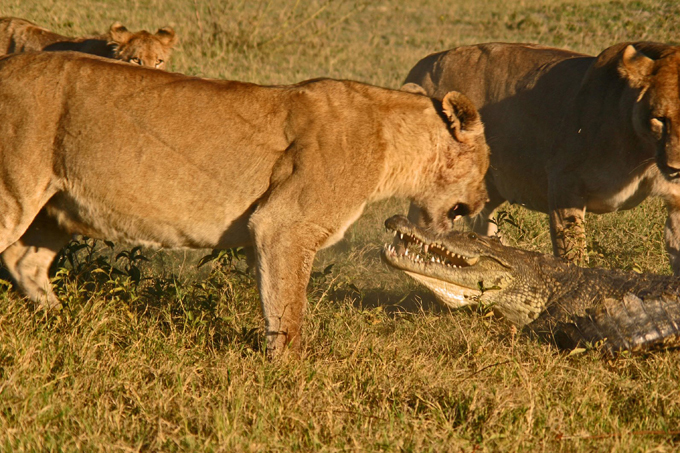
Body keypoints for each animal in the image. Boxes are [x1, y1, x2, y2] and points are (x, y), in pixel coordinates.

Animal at [0, 51, 490, 357]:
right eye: (486, 166)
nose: (484, 200)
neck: (396, 145)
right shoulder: (285, 224)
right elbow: (290, 304)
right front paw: (289, 372)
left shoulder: (269, 232)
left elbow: (274, 295)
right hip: (15, 191)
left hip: (58, 206)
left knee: (25, 260)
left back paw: (61, 322)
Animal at [404, 42, 680, 273]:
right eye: (660, 119)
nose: (676, 169)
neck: (642, 151)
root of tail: (421, 66)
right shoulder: (564, 184)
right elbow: (572, 251)